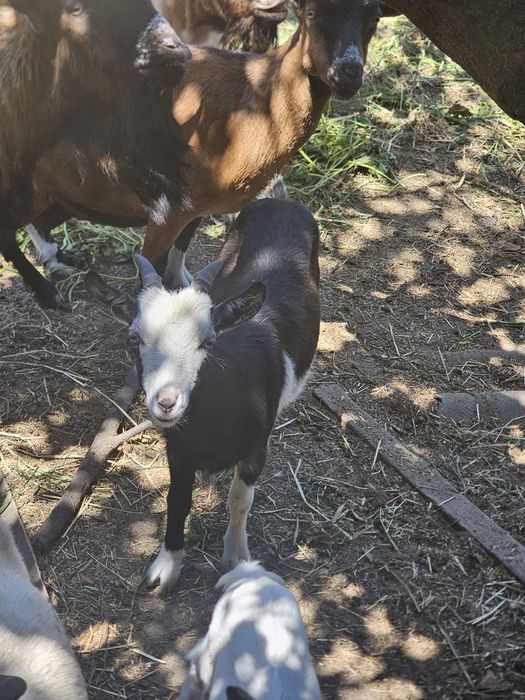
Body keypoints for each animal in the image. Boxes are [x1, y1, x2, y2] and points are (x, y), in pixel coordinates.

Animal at [86, 197, 320, 593]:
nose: (166, 402)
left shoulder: (256, 448)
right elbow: (177, 500)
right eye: (134, 336)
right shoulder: (179, 451)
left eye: (208, 341)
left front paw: (236, 558)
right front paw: (166, 566)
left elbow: (240, 500)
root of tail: (281, 200)